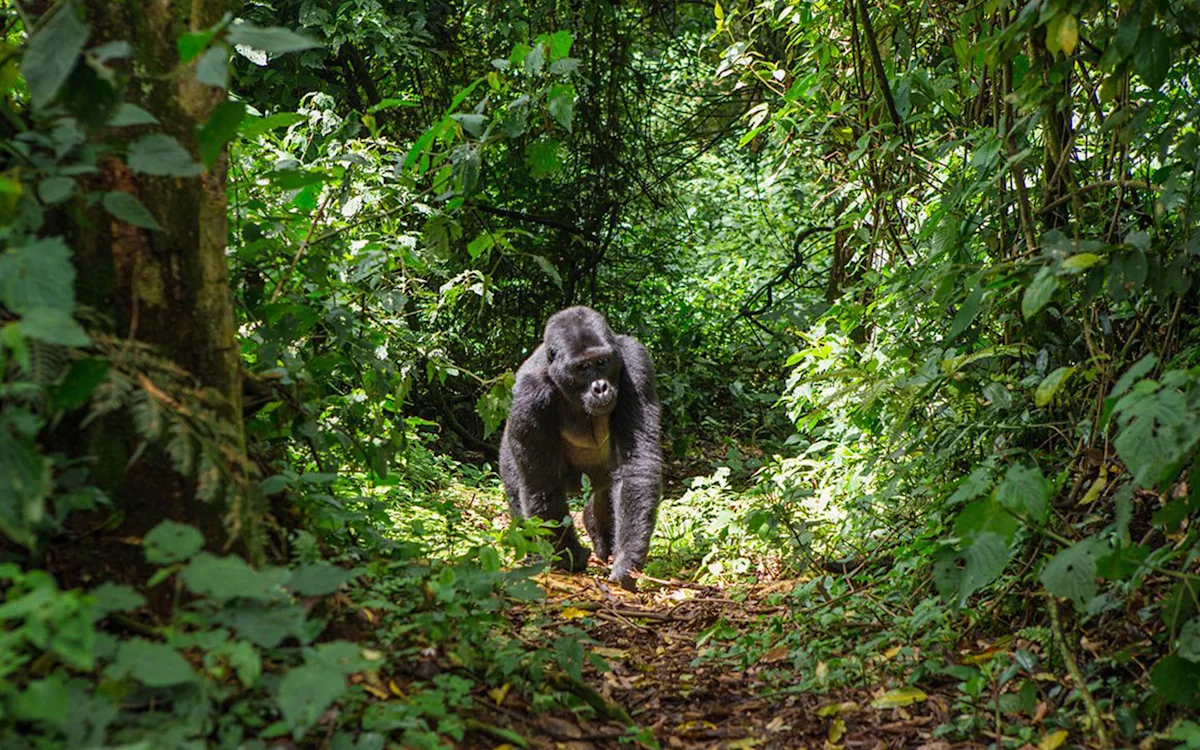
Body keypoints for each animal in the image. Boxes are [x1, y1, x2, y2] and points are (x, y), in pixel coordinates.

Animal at [499, 306, 663, 591]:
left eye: (602, 362)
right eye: (583, 368)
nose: (601, 388)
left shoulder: (636, 361)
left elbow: (636, 464)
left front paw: (627, 560)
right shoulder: (527, 394)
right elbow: (542, 484)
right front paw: (569, 557)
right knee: (518, 488)